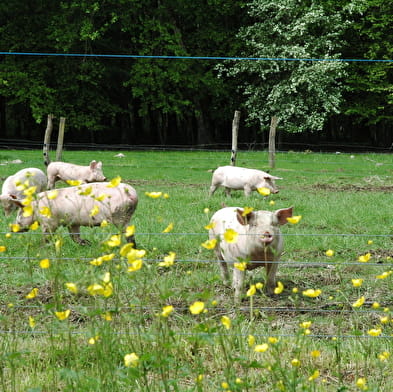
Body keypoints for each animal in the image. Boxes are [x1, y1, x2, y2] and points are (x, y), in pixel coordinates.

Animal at [10, 181, 138, 245]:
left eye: (19, 213)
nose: (11, 229)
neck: (36, 207)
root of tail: (132, 193)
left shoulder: (49, 222)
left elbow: (47, 235)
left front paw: (42, 247)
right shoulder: (73, 222)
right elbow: (74, 236)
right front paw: (87, 243)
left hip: (120, 215)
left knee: (128, 233)